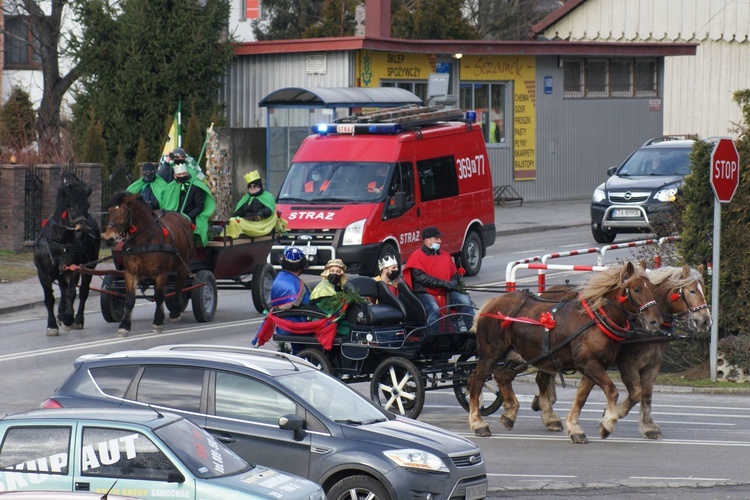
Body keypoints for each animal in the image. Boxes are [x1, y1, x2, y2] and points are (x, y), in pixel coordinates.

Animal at [32, 176, 100, 336]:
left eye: (88, 205)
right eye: (71, 206)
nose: (83, 230)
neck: (59, 240)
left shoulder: (74, 268)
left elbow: (71, 292)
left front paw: (69, 317)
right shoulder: (43, 272)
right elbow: (49, 298)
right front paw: (52, 325)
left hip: (90, 267)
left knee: (83, 291)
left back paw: (77, 319)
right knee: (62, 290)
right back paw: (61, 314)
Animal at [102, 193, 194, 338]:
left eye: (123, 212)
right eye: (109, 211)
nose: (108, 238)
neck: (143, 241)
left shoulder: (162, 273)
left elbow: (159, 296)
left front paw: (157, 323)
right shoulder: (130, 273)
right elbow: (129, 300)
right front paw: (124, 326)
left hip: (183, 266)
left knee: (178, 288)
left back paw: (175, 312)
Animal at [470, 260, 664, 444]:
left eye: (652, 288)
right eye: (637, 289)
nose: (655, 321)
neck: (597, 318)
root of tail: (492, 303)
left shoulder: (595, 365)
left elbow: (581, 397)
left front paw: (575, 427)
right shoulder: (588, 364)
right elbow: (612, 391)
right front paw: (607, 423)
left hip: (519, 356)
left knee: (502, 376)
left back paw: (510, 414)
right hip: (490, 355)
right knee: (476, 381)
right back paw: (478, 423)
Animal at [532, 264, 712, 440]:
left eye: (702, 289)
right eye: (692, 291)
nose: (706, 321)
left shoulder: (654, 361)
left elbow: (646, 394)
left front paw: (648, 426)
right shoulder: (627, 361)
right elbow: (636, 392)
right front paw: (610, 416)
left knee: (544, 376)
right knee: (542, 378)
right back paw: (549, 415)